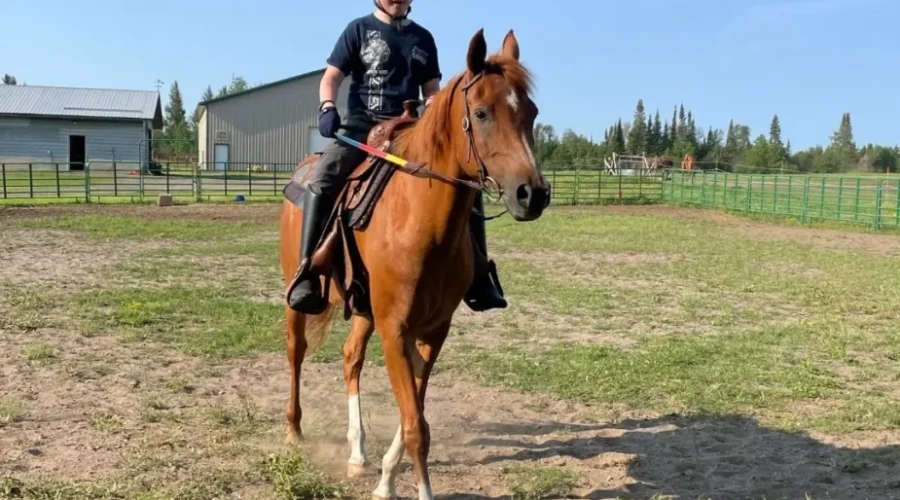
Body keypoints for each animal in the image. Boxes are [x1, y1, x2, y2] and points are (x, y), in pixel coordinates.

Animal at [277, 28, 550, 500]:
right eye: (481, 113)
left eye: (531, 112)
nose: (532, 194)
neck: (419, 223)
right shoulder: (395, 330)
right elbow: (416, 428)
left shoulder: (432, 331)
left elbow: (414, 417)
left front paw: (386, 477)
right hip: (298, 296)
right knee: (297, 351)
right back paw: (294, 430)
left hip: (364, 309)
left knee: (350, 358)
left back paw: (357, 453)